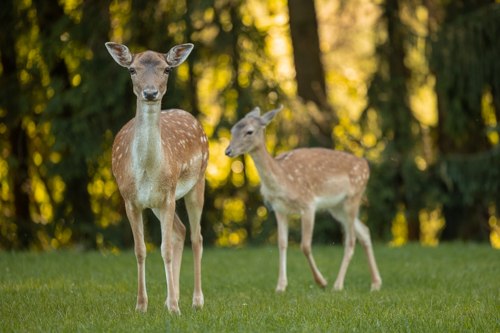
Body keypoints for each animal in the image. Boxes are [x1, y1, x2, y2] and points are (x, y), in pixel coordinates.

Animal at [104, 42, 208, 314]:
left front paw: (174, 308)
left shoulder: (169, 195)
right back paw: (173, 297)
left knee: (196, 237)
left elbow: (165, 249)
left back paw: (196, 300)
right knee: (180, 231)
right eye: (131, 69)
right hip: (156, 204)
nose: (150, 93)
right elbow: (140, 250)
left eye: (167, 69)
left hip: (198, 181)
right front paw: (142, 305)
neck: (147, 170)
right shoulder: (130, 200)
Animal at [227, 105, 382, 292]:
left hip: (353, 197)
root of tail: (366, 165)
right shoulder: (279, 209)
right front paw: (280, 286)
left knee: (350, 241)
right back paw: (376, 283)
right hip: (336, 207)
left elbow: (305, 246)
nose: (228, 151)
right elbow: (282, 243)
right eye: (232, 129)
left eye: (249, 131)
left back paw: (338, 285)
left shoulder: (308, 204)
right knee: (365, 232)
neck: (284, 181)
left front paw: (321, 282)